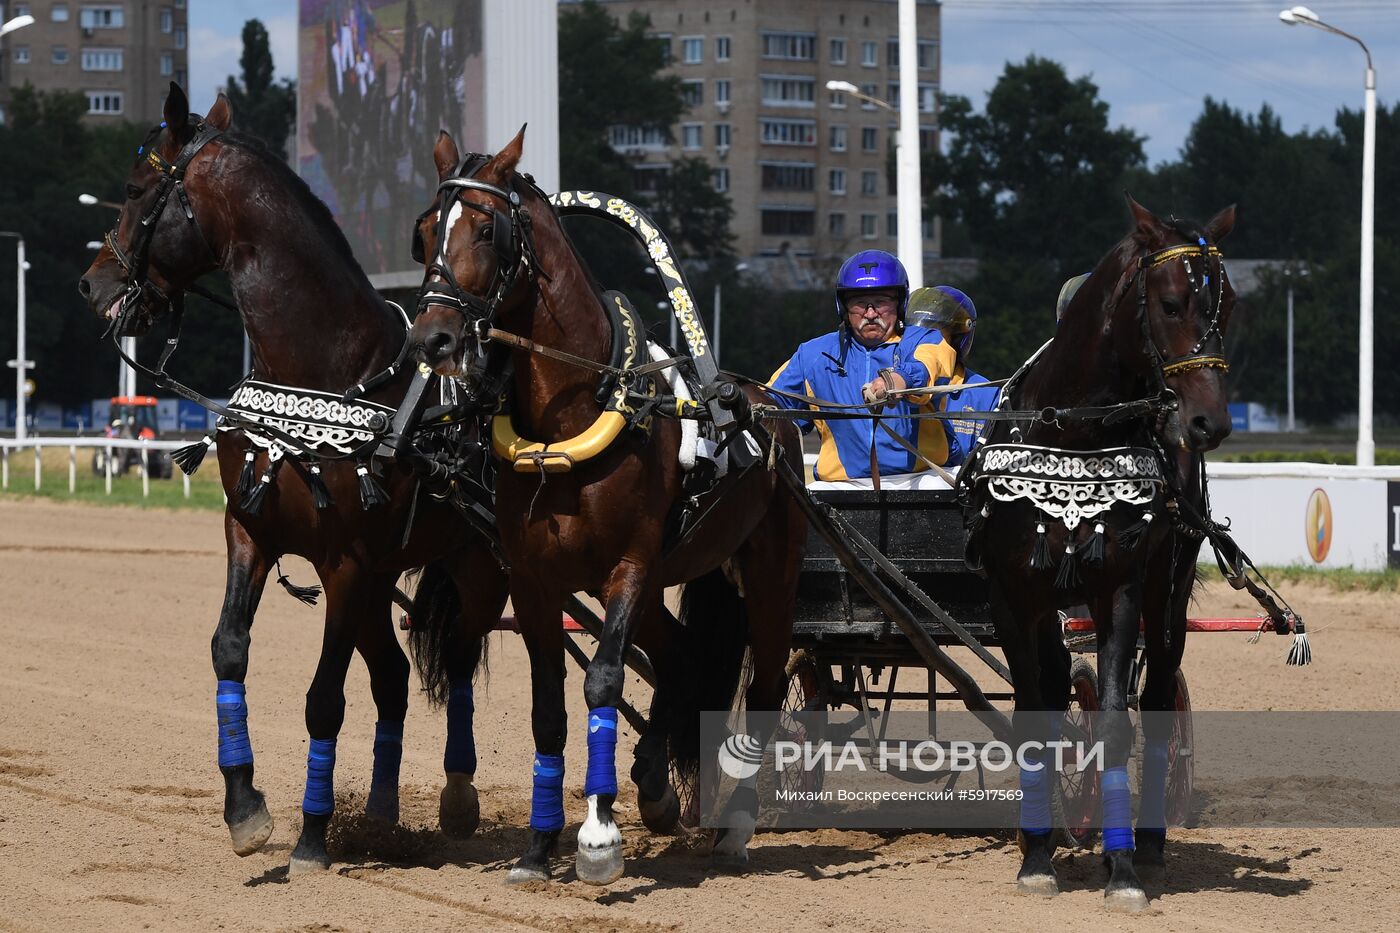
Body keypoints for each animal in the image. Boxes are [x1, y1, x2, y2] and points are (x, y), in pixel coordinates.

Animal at [73, 83, 506, 874]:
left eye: (137, 189)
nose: (94, 283)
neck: (327, 368)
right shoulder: (251, 531)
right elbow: (228, 650)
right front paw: (245, 805)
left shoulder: (346, 563)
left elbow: (324, 698)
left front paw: (310, 832)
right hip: (385, 582)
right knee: (393, 677)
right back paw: (382, 815)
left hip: (478, 566)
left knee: (458, 660)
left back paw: (457, 798)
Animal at [406, 128, 806, 879]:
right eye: (423, 232)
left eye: (487, 227)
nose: (431, 340)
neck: (576, 407)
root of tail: (769, 405)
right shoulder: (533, 578)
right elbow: (548, 705)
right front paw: (539, 846)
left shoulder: (630, 564)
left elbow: (602, 682)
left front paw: (598, 836)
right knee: (680, 655)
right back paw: (653, 786)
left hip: (768, 574)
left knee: (766, 683)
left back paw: (734, 828)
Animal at [963, 197, 1237, 907]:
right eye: (1171, 302)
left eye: (1229, 305)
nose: (1209, 423)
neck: (1074, 435)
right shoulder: (1012, 595)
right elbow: (1035, 716)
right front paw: (1036, 860)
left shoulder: (1119, 589)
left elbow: (1116, 721)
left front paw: (1123, 871)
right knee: (1061, 684)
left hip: (1168, 590)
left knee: (1161, 693)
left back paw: (1150, 843)